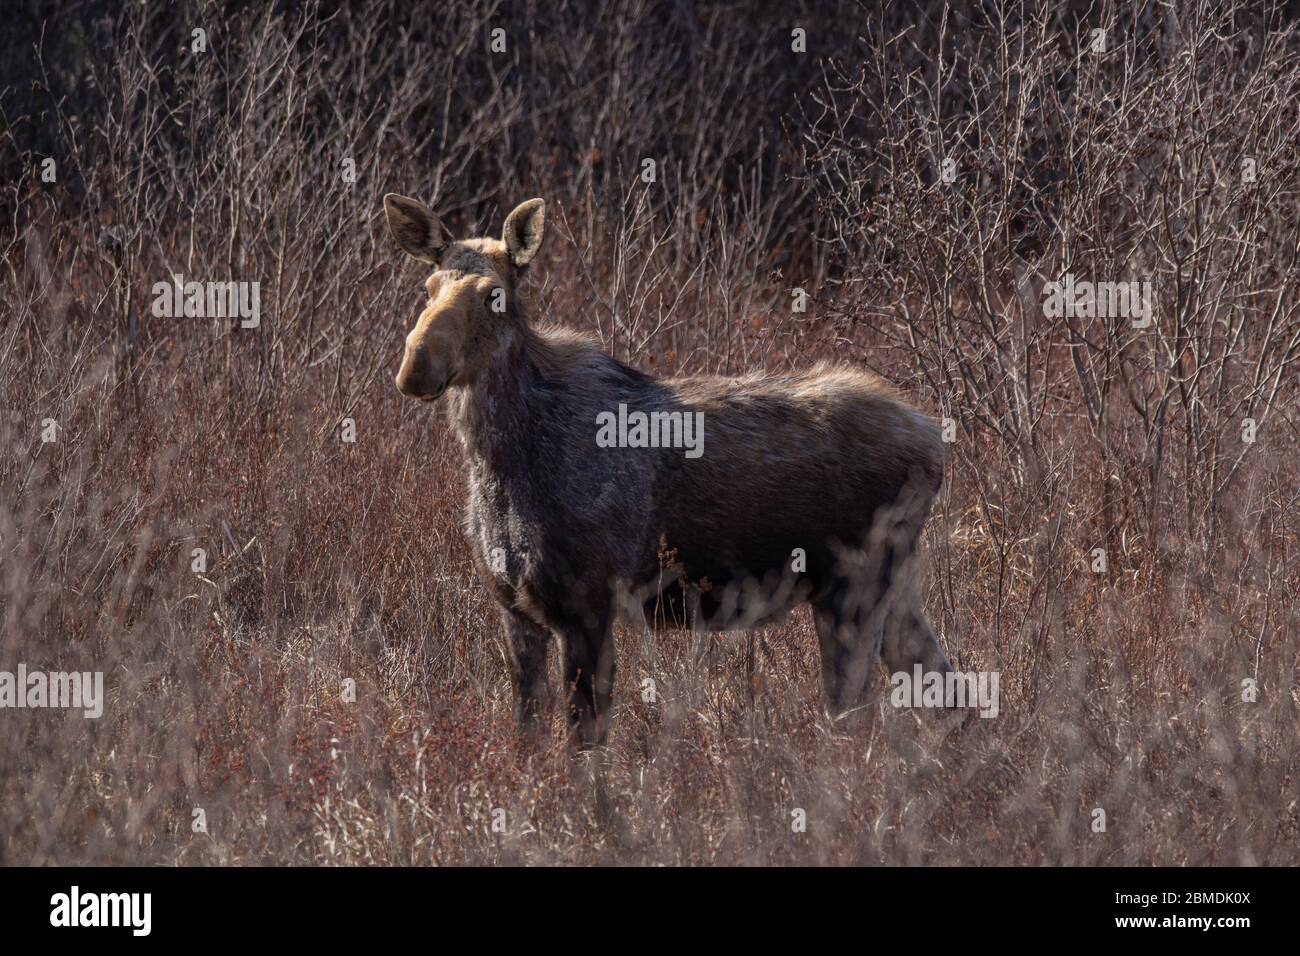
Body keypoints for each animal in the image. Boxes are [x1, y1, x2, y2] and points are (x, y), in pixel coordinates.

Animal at [379, 192, 951, 749]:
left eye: (492, 295)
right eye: (429, 287)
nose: (417, 365)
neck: (500, 462)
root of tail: (934, 442)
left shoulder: (586, 601)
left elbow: (583, 746)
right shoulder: (515, 608)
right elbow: (528, 739)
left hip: (853, 588)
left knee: (857, 719)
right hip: (895, 587)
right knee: (944, 690)